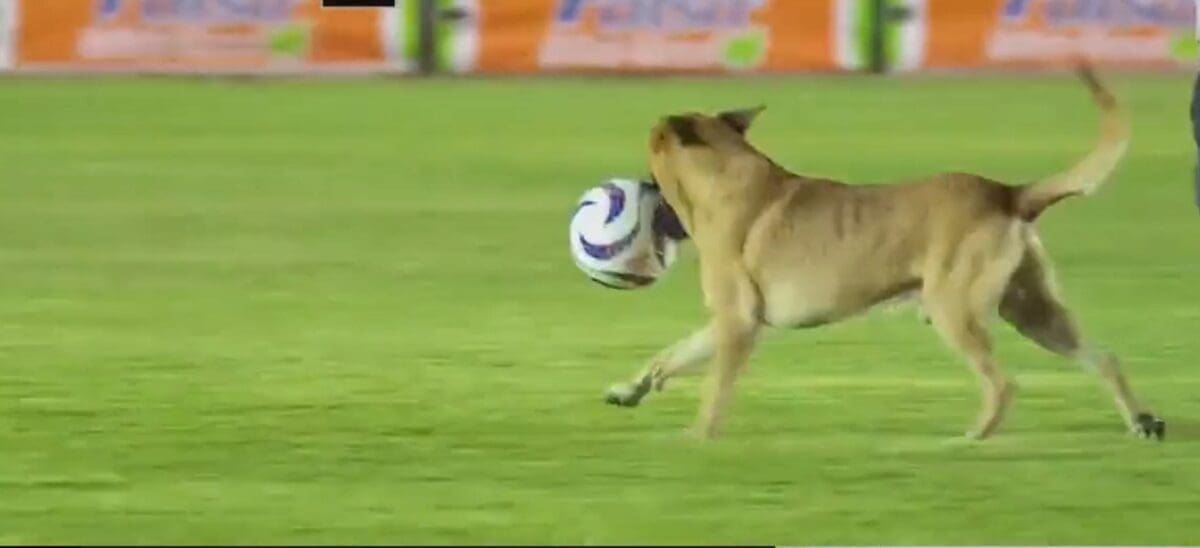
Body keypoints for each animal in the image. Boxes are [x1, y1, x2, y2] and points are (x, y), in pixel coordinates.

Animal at [604, 62, 1166, 438]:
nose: (639, 191)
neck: (725, 178)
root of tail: (1008, 192)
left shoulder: (738, 325)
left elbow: (714, 389)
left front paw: (698, 437)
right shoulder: (730, 321)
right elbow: (670, 356)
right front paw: (629, 390)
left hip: (956, 312)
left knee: (1003, 384)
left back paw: (972, 439)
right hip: (1034, 311)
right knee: (1104, 357)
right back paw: (1142, 420)